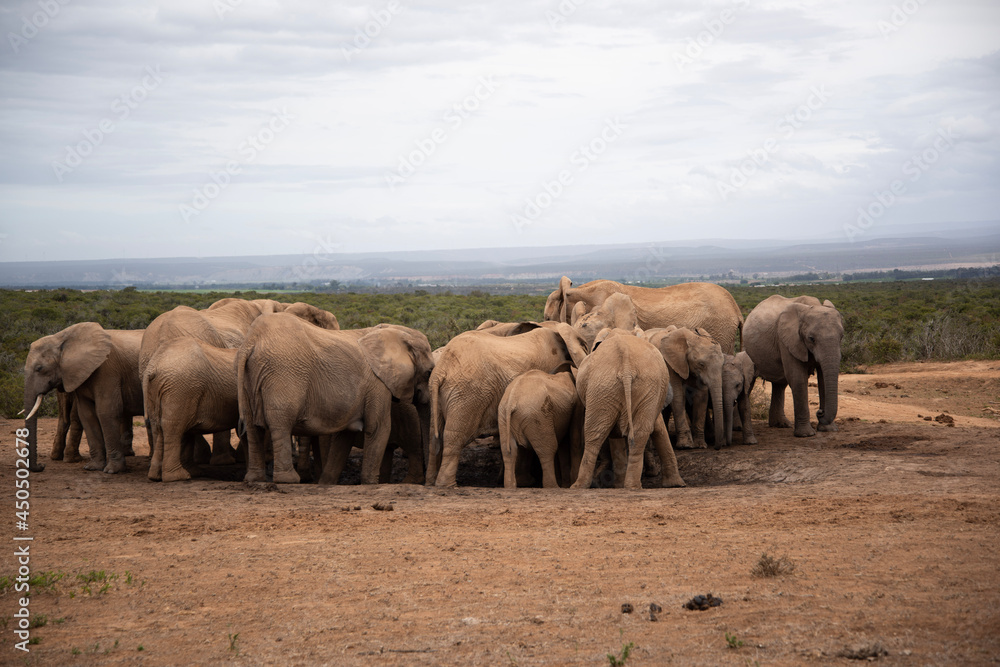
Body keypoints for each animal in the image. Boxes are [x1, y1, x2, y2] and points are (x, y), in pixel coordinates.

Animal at [24, 323, 144, 474]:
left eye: (39, 368)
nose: (41, 466)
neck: (61, 338)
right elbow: (87, 414)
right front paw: (93, 467)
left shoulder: (108, 370)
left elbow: (106, 412)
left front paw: (112, 471)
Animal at [237, 313, 434, 484]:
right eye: (429, 372)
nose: (427, 483)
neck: (396, 332)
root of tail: (252, 342)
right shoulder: (377, 383)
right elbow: (379, 428)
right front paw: (370, 484)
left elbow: (345, 436)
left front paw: (326, 483)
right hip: (283, 373)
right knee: (281, 423)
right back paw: (288, 480)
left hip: (249, 380)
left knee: (252, 426)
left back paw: (254, 479)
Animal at [427, 322, 589, 488]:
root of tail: (441, 370)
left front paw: (525, 482)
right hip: (467, 394)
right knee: (454, 436)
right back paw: (447, 485)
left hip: (440, 395)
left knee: (434, 437)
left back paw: (430, 482)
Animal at [571, 329, 684, 490]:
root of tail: (626, 364)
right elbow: (657, 428)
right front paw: (675, 484)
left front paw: (674, 484)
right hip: (615, 386)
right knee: (626, 433)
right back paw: (630, 486)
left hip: (608, 386)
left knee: (595, 434)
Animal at [742, 295, 844, 437]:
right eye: (811, 338)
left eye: (841, 337)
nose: (820, 412)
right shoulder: (787, 340)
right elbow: (798, 379)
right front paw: (806, 435)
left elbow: (823, 380)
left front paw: (828, 429)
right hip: (747, 348)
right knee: (750, 382)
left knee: (779, 385)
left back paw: (781, 425)